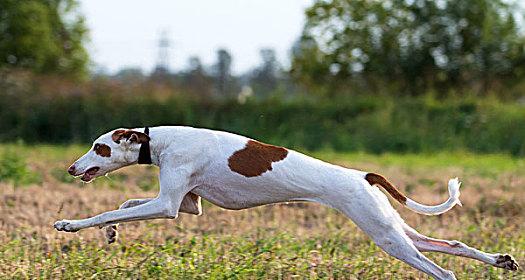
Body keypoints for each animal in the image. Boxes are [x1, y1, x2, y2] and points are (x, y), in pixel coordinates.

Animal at [55, 126, 516, 278]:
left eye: (98, 147)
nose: (72, 168)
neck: (161, 140)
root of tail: (363, 175)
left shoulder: (168, 204)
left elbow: (109, 207)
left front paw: (71, 225)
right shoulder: (186, 205)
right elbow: (124, 204)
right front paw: (112, 232)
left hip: (386, 236)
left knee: (442, 269)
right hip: (393, 229)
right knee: (450, 245)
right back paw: (501, 260)